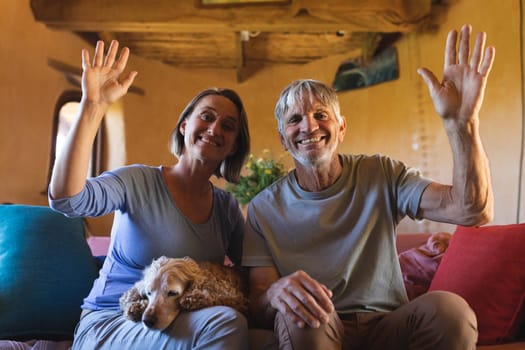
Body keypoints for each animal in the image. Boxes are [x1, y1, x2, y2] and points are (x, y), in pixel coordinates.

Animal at [119, 256, 249, 330]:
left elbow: (219, 296)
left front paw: (192, 298)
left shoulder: (237, 298)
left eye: (172, 293)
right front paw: (135, 307)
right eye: (149, 293)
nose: (147, 321)